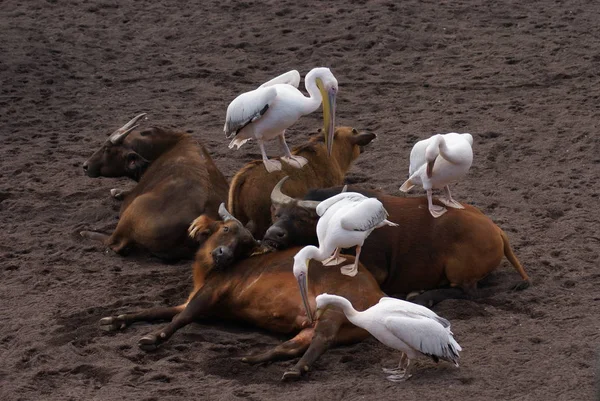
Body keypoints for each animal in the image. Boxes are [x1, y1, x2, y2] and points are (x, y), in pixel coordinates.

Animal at [98, 205, 380, 380]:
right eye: (225, 230)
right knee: (293, 345)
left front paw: (154, 337)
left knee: (322, 339)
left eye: (244, 244)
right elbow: (154, 309)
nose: (223, 254)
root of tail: (377, 293)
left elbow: (181, 318)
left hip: (334, 310)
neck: (208, 272)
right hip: (319, 327)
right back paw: (254, 359)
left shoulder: (209, 295)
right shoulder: (194, 301)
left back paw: (297, 370)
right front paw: (116, 319)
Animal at [264, 181, 528, 304]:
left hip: (458, 271)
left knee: (466, 292)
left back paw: (420, 295)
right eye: (278, 214)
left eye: (301, 218)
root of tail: (495, 230)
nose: (272, 234)